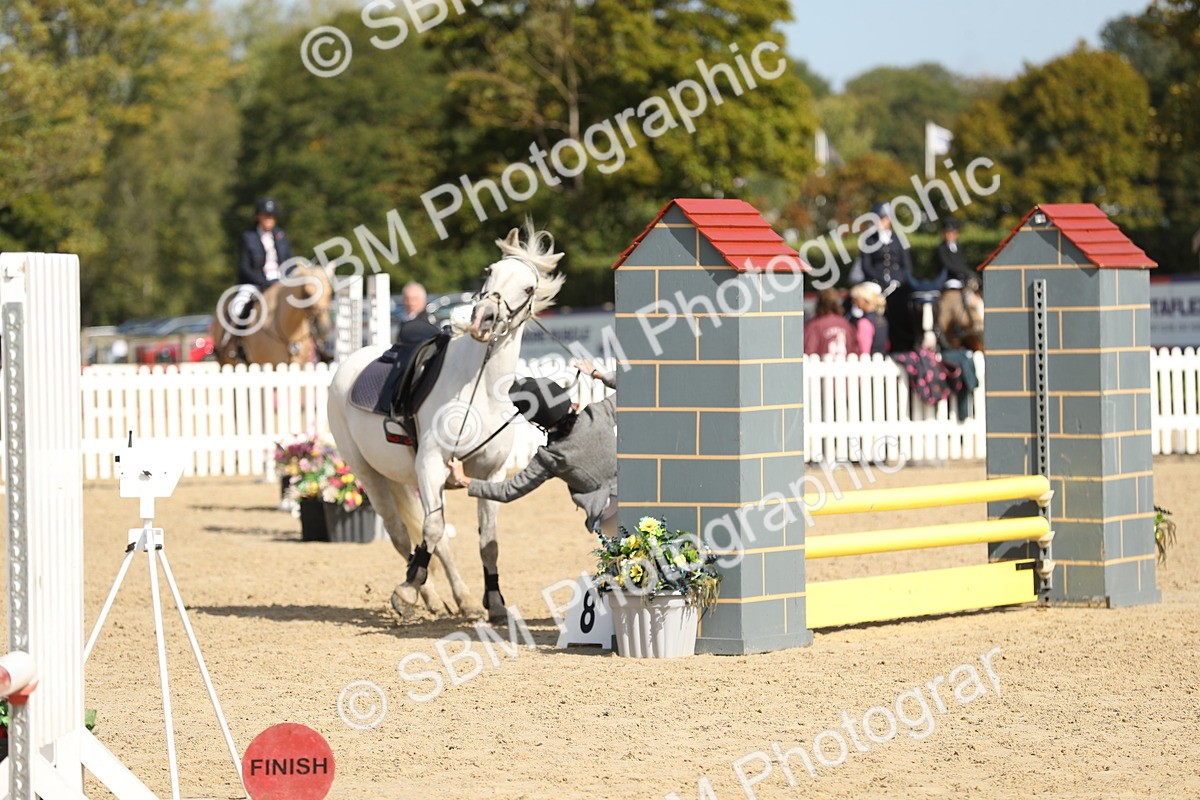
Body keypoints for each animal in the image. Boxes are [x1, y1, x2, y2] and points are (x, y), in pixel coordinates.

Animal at [327, 225, 565, 622]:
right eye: (489, 271)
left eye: (529, 288)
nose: (484, 318)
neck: (479, 387)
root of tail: (349, 365)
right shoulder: (432, 463)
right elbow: (434, 529)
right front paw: (407, 591)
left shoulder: (490, 474)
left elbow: (487, 543)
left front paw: (494, 603)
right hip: (369, 474)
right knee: (401, 533)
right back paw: (420, 594)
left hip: (408, 478)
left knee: (434, 540)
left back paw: (458, 599)